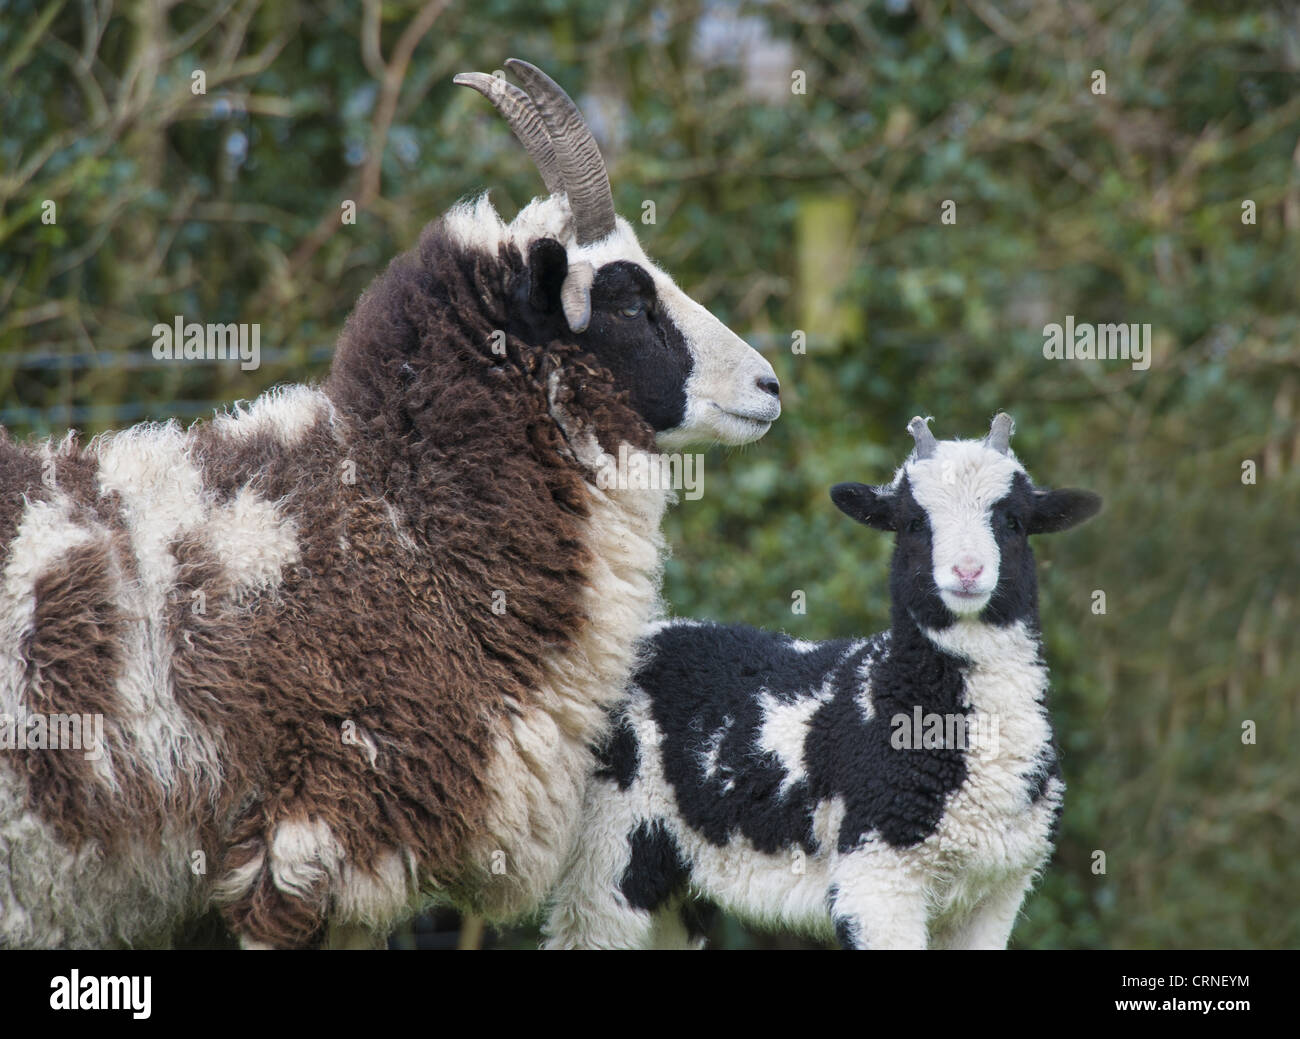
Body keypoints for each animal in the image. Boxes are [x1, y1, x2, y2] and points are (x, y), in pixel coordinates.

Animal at [543, 413, 1102, 951]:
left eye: (1013, 521)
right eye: (913, 522)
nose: (967, 573)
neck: (897, 692)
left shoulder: (998, 891)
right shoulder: (876, 878)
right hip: (610, 848)